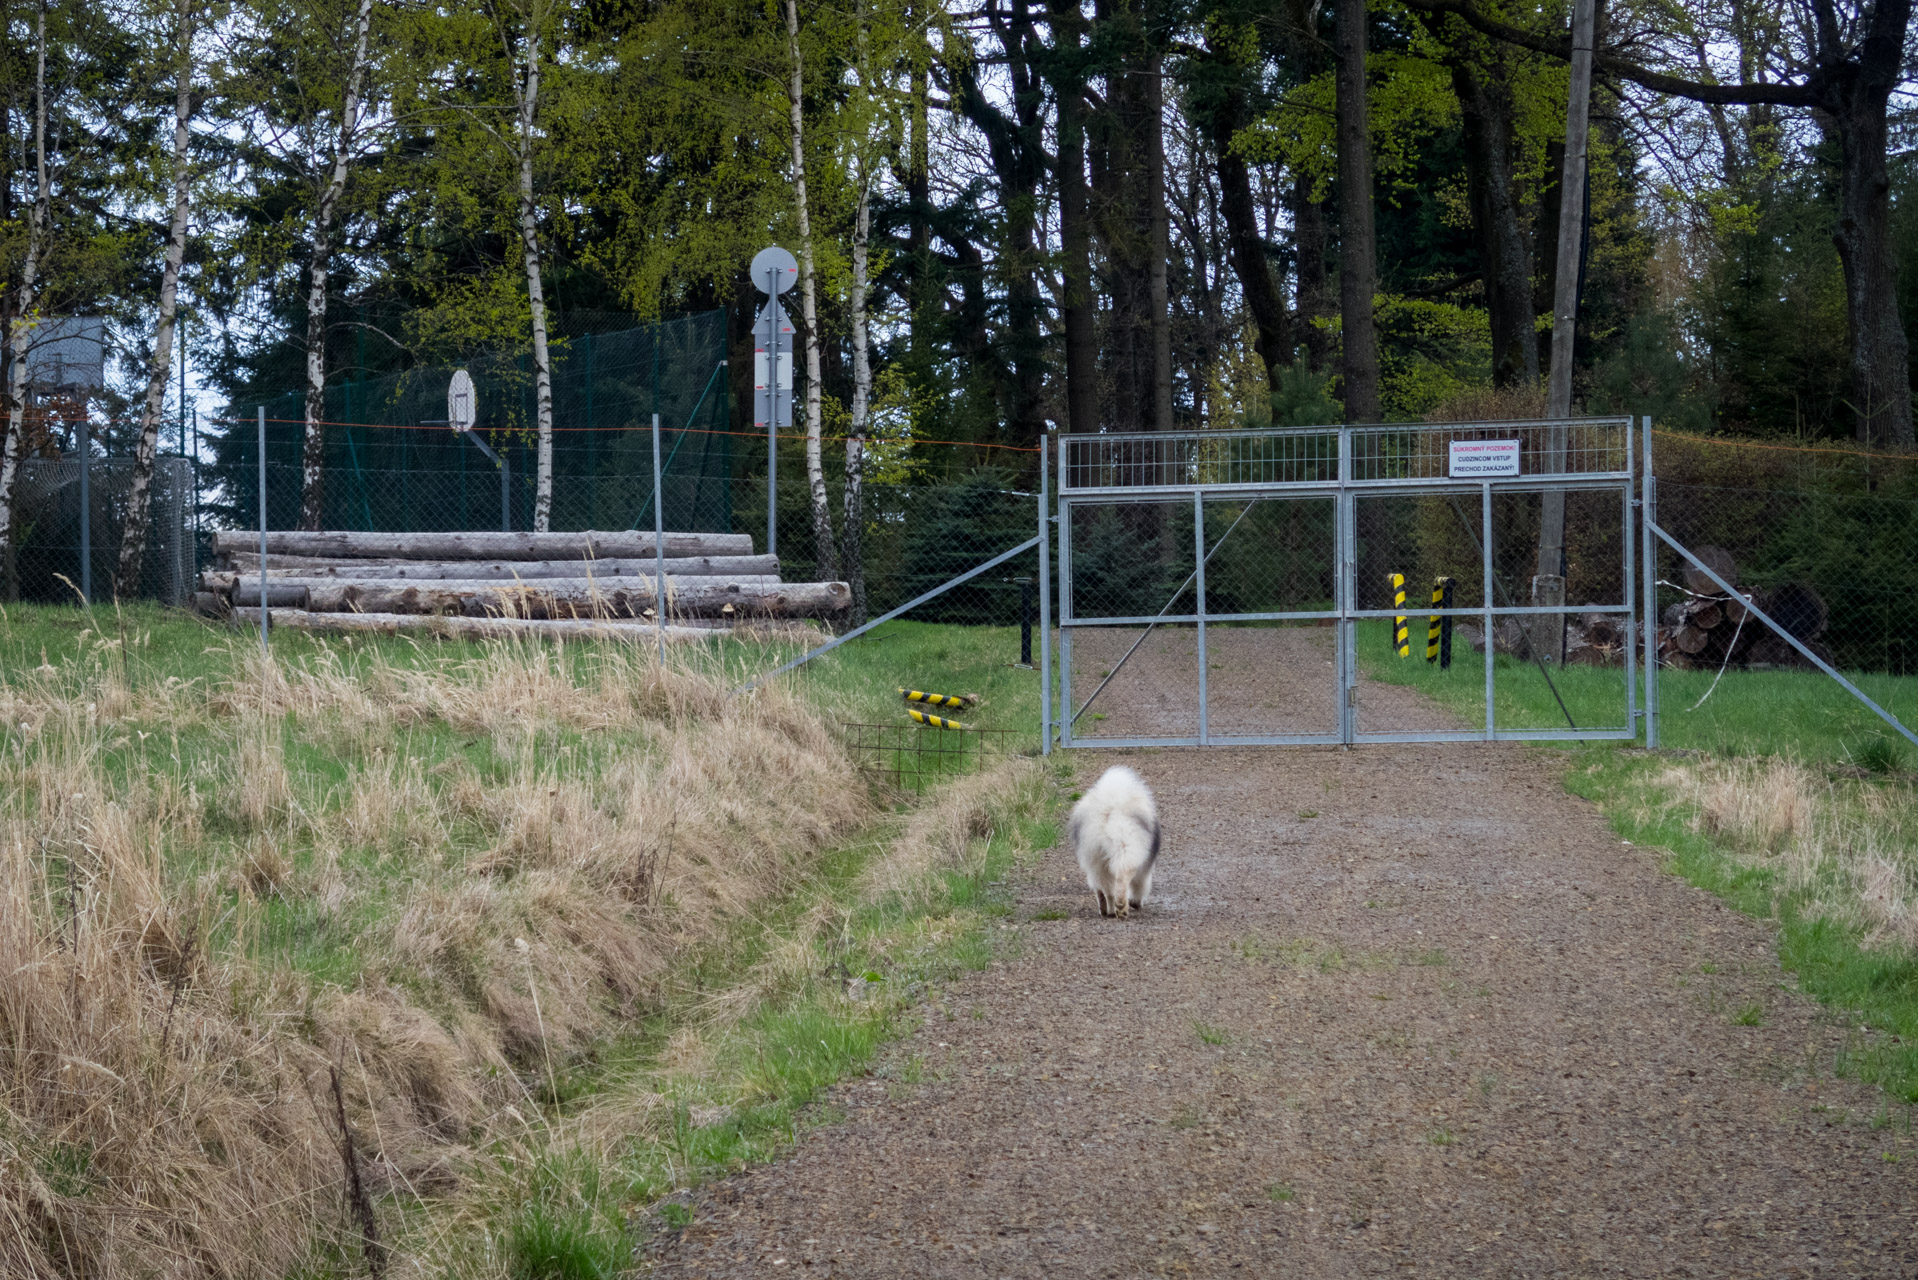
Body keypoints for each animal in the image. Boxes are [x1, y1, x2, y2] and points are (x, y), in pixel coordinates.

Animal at [1066, 767, 1150, 917]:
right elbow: (1141, 883)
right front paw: (1136, 903)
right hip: (1124, 850)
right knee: (1121, 880)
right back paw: (1121, 908)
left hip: (1095, 859)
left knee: (1104, 889)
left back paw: (1108, 910)